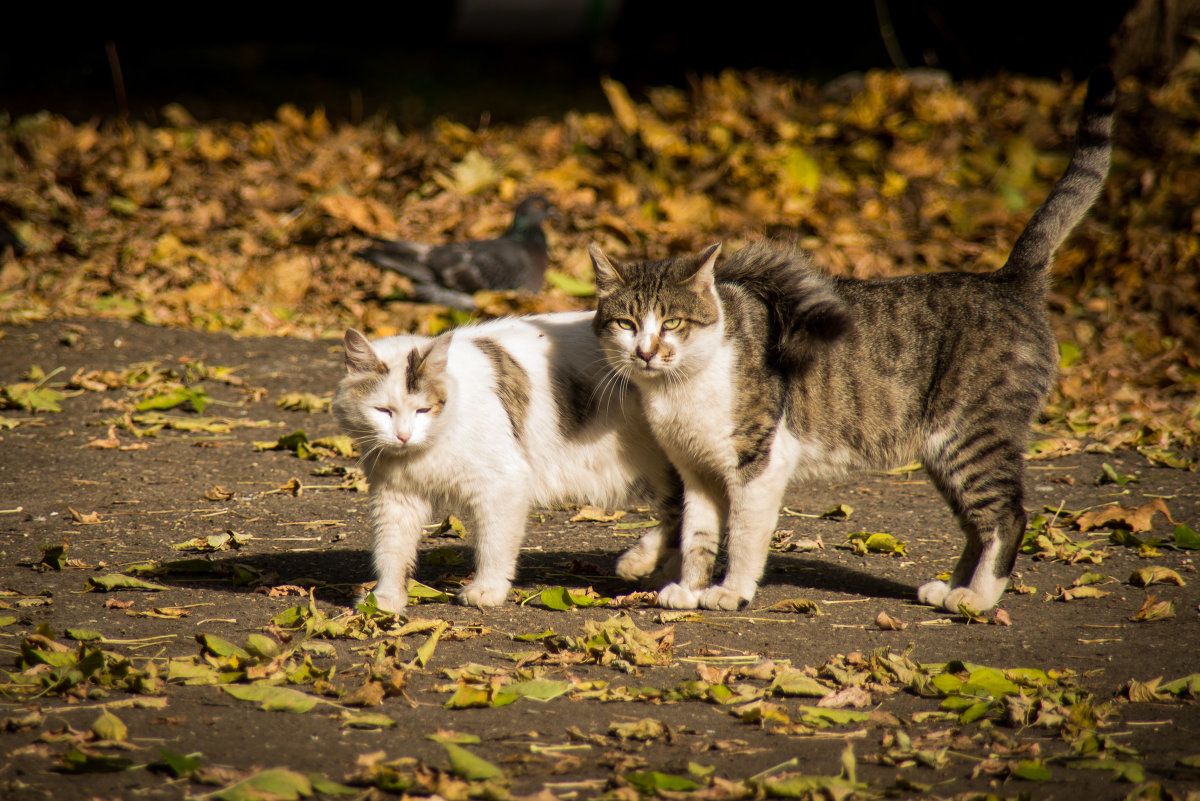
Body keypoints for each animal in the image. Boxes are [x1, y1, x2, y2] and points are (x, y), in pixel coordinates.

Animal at [333, 311, 681, 613]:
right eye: (382, 411)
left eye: (423, 410)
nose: (403, 436)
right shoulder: (395, 497)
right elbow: (391, 552)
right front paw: (385, 600)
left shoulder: (503, 484)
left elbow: (494, 546)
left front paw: (487, 590)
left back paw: (640, 563)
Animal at [590, 68, 1113, 609]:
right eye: (627, 324)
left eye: (673, 323)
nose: (647, 351)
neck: (681, 390)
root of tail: (1009, 279)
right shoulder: (697, 473)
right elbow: (698, 533)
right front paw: (688, 590)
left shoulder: (759, 465)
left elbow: (742, 537)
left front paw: (730, 591)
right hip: (945, 454)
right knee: (976, 524)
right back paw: (948, 589)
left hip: (972, 436)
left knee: (1007, 517)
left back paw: (976, 599)